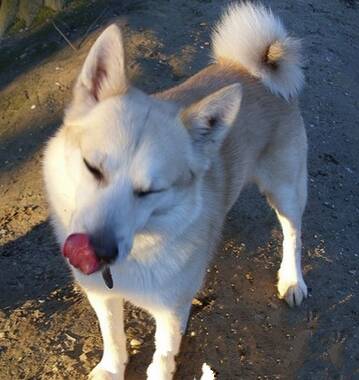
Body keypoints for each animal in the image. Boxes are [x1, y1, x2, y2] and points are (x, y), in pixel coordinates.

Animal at [43, 3, 310, 380]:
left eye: (150, 190)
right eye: (92, 168)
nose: (98, 251)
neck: (142, 246)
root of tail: (252, 69)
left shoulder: (171, 310)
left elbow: (163, 355)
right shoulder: (101, 295)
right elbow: (112, 334)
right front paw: (111, 367)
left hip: (286, 189)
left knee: (293, 235)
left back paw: (292, 280)